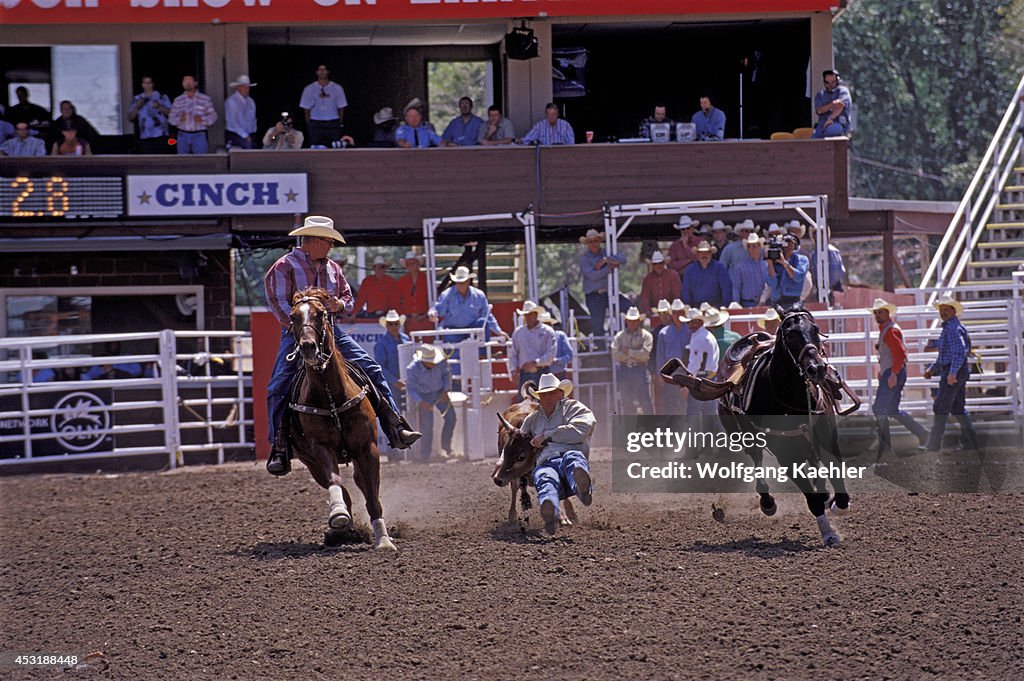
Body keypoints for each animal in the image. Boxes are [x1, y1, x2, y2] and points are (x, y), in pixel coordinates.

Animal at [288, 284, 399, 548]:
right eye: (293, 317)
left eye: (320, 314)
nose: (308, 347)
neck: (331, 397)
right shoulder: (320, 449)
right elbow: (335, 481)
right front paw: (338, 515)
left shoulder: (368, 449)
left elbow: (372, 498)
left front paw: (384, 540)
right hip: (310, 462)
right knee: (340, 486)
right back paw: (344, 526)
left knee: (363, 485)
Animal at [716, 307, 860, 548]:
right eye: (790, 334)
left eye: (815, 329)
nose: (816, 369)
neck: (790, 397)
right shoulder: (786, 455)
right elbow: (812, 500)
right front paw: (829, 533)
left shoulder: (827, 439)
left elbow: (838, 485)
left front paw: (836, 504)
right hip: (745, 437)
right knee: (757, 461)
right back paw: (767, 502)